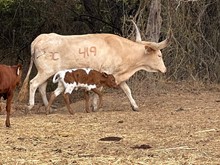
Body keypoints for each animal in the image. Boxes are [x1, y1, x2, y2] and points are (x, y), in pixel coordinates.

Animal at [18, 21, 170, 111]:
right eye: (159, 55)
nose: (165, 70)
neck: (121, 50)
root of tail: (39, 39)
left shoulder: (118, 75)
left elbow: (127, 90)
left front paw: (135, 106)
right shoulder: (107, 73)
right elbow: (100, 89)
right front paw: (95, 106)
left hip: (47, 72)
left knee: (42, 87)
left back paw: (48, 106)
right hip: (45, 71)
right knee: (33, 83)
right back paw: (30, 105)